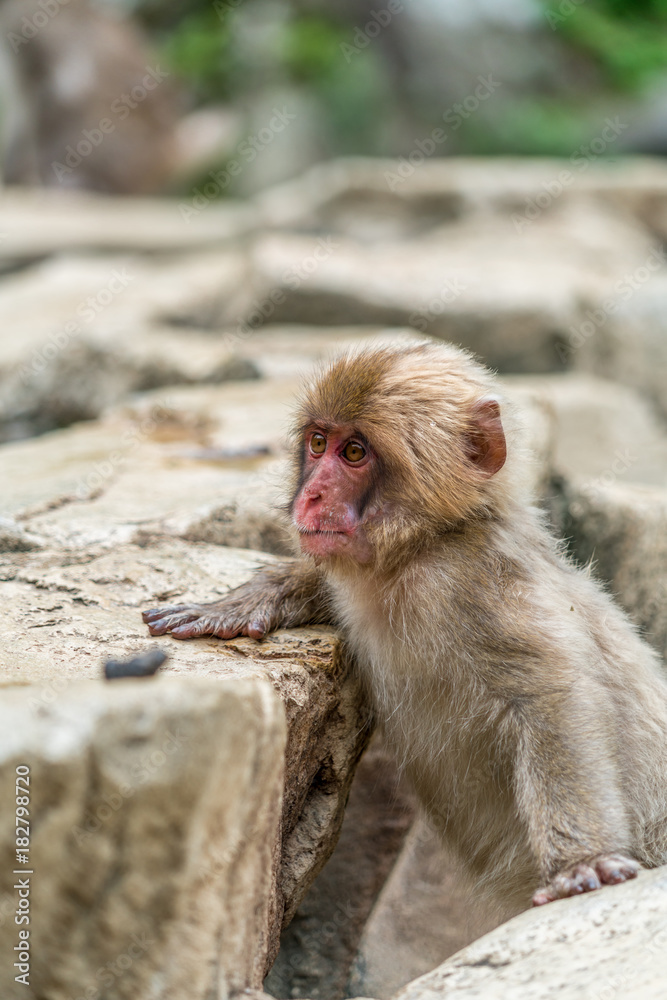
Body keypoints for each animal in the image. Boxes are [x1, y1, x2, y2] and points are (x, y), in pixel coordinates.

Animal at [142, 340, 667, 912]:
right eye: (318, 443)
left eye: (355, 453)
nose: (311, 496)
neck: (418, 548)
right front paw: (244, 602)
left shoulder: (472, 583)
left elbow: (554, 698)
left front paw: (582, 860)